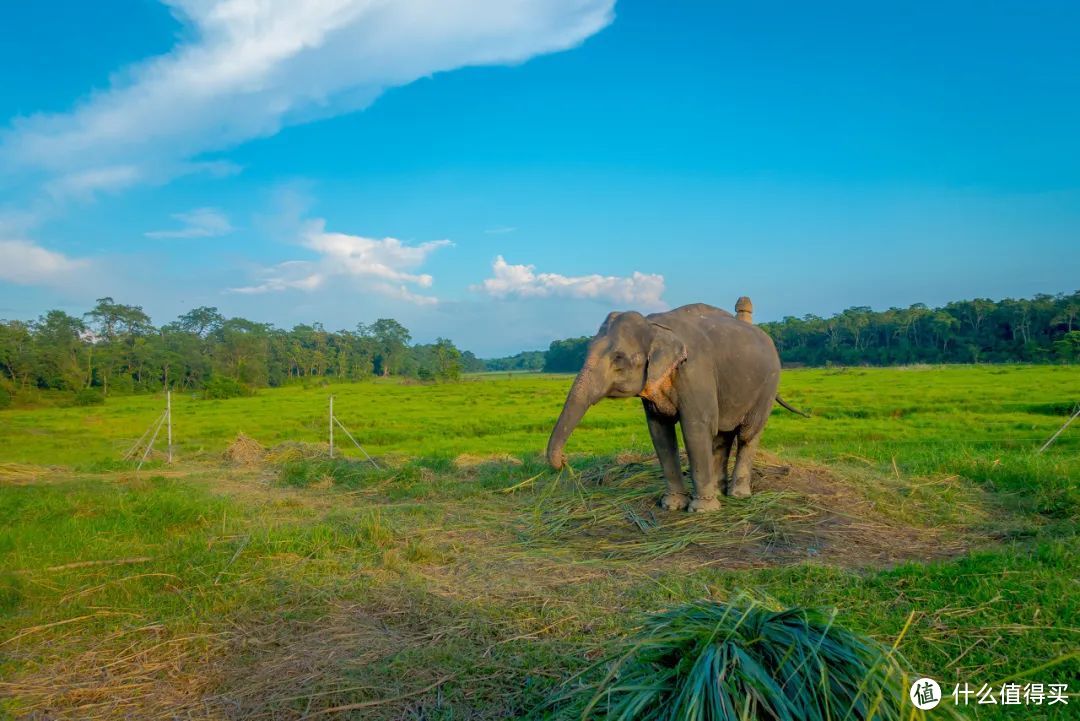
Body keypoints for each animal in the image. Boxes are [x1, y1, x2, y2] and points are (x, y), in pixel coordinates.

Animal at [548, 297, 803, 511]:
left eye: (619, 358)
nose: (564, 461)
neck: (655, 325)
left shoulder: (695, 371)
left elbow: (695, 428)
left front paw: (702, 510)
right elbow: (660, 432)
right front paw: (672, 505)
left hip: (768, 386)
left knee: (748, 434)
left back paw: (738, 495)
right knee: (723, 434)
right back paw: (719, 491)